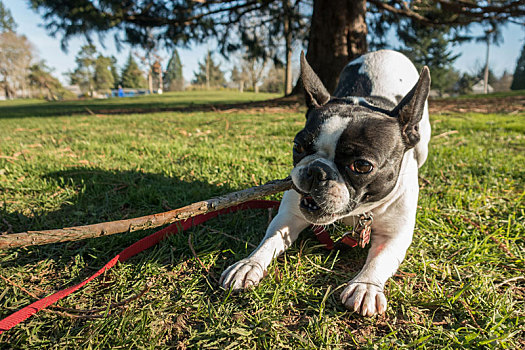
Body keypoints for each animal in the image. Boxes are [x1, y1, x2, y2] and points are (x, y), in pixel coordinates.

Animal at [220, 50, 430, 318]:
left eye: (362, 166)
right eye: (297, 147)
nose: (316, 170)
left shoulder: (394, 235)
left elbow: (379, 259)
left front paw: (365, 286)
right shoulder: (289, 216)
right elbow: (270, 240)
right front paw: (249, 263)